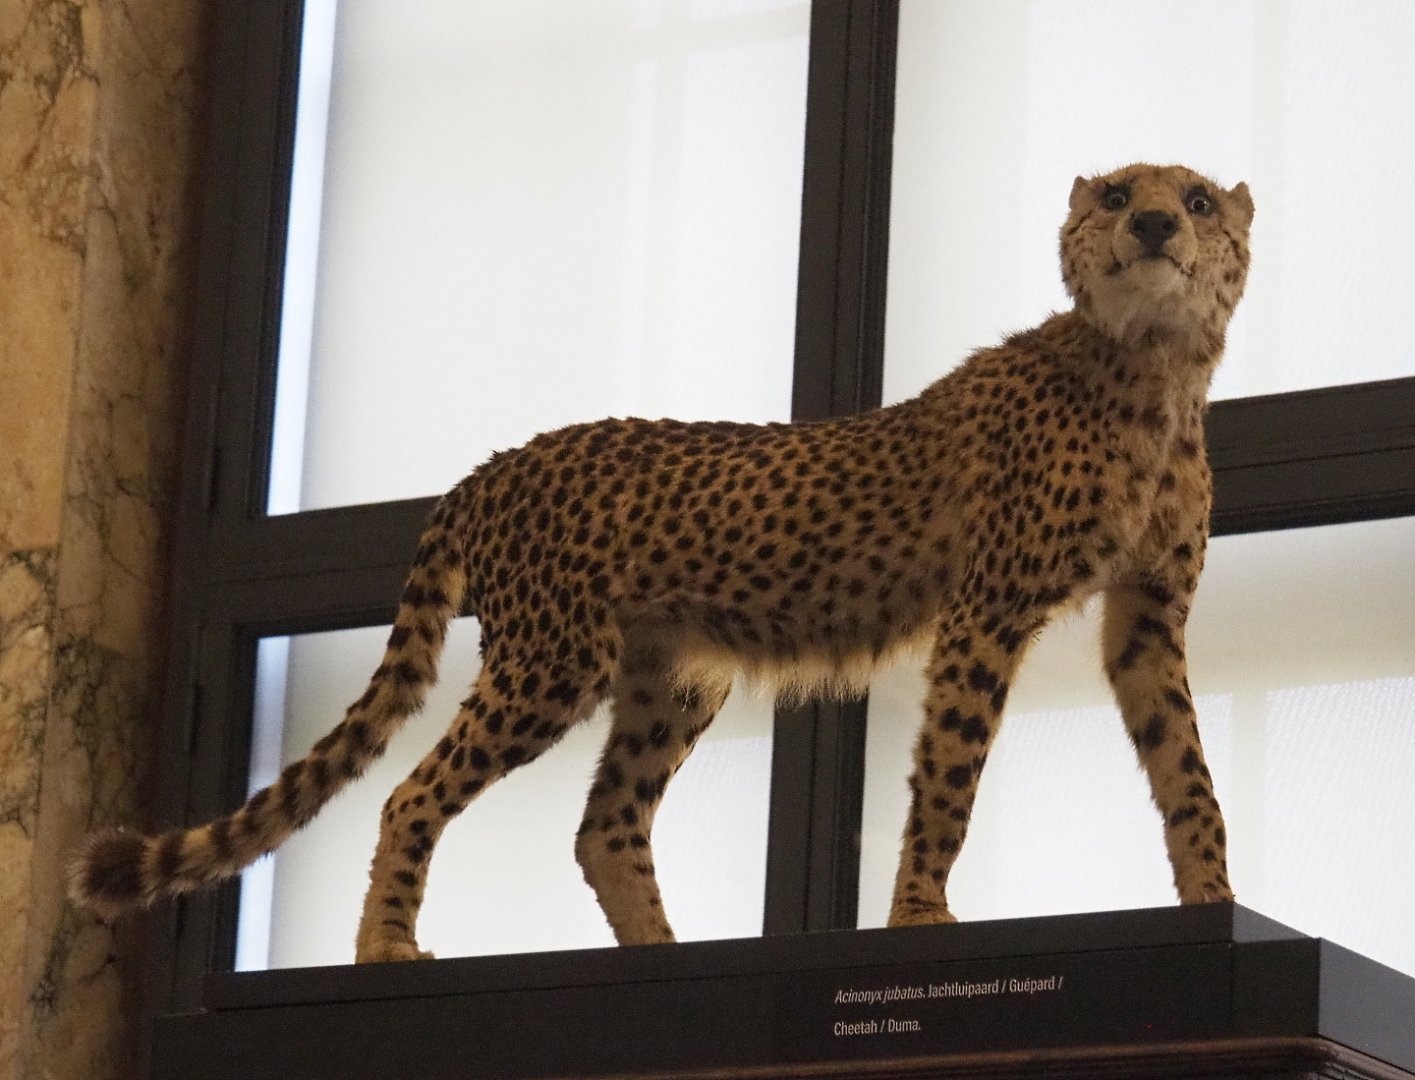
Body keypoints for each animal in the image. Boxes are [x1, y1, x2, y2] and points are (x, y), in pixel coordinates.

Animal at [71, 163, 1254, 963]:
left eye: (1196, 199)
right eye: (1114, 193)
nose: (1152, 223)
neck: (1147, 373)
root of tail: (492, 464)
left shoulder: (1147, 617)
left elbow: (1187, 771)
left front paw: (1213, 897)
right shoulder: (984, 615)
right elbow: (948, 782)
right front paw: (919, 915)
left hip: (672, 674)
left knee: (605, 825)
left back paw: (662, 956)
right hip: (549, 662)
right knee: (412, 792)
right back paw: (384, 948)